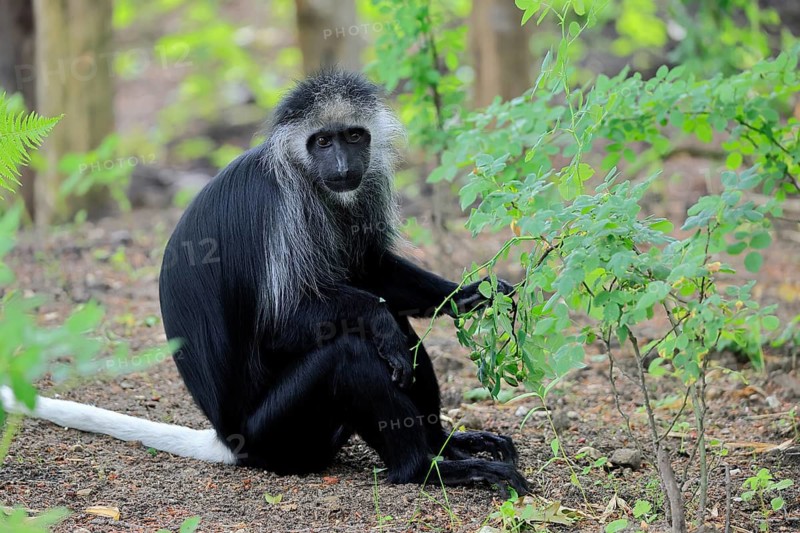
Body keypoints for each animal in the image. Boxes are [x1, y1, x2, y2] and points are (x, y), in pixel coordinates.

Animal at [1, 70, 529, 495]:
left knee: (397, 334)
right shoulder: (283, 211)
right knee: (350, 349)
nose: (342, 167)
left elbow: (370, 271)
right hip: (281, 431)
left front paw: (469, 296)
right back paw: (425, 468)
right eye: (322, 142)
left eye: (353, 136)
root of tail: (230, 440)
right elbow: (283, 325)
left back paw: (448, 445)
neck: (304, 173)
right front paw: (379, 320)